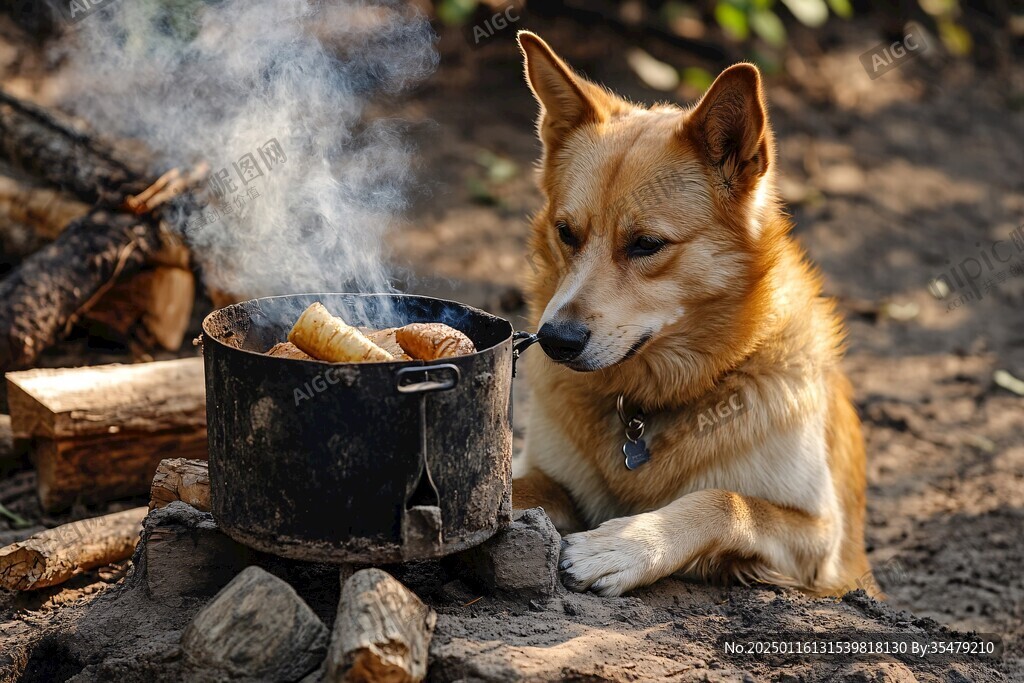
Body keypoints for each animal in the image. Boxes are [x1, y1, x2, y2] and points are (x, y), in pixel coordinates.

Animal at [512, 30, 872, 598]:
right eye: (566, 233)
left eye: (646, 244)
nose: (555, 340)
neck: (648, 404)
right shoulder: (544, 473)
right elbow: (522, 487)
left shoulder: (818, 537)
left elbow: (724, 501)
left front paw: (624, 545)